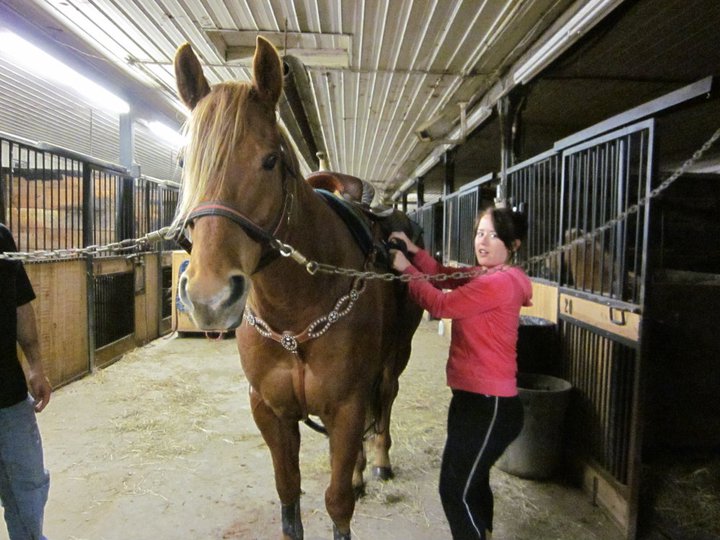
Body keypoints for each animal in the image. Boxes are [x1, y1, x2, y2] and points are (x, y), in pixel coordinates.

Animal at [172, 36, 423, 539]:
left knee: (386, 399)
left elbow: (337, 502)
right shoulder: (270, 410)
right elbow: (289, 495)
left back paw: (380, 461)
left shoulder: (346, 406)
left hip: (395, 354)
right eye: (185, 161)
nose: (210, 298)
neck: (294, 314)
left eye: (270, 160)